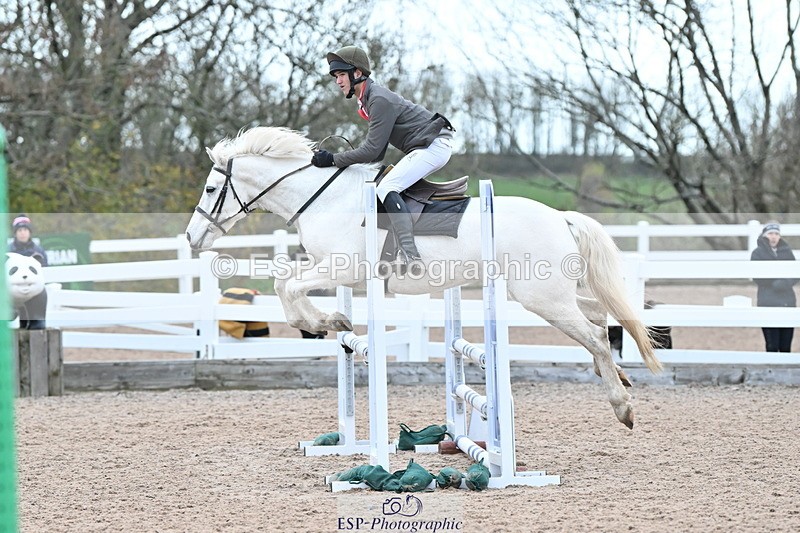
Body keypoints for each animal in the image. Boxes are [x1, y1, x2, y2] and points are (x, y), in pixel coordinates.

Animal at [185, 126, 662, 428]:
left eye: (209, 189)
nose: (192, 237)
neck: (322, 198)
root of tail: (561, 217)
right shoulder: (331, 268)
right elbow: (287, 282)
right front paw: (331, 321)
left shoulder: (345, 267)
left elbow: (288, 286)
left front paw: (325, 322)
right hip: (548, 295)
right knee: (597, 317)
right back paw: (618, 377)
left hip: (541, 297)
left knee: (594, 334)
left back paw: (623, 406)